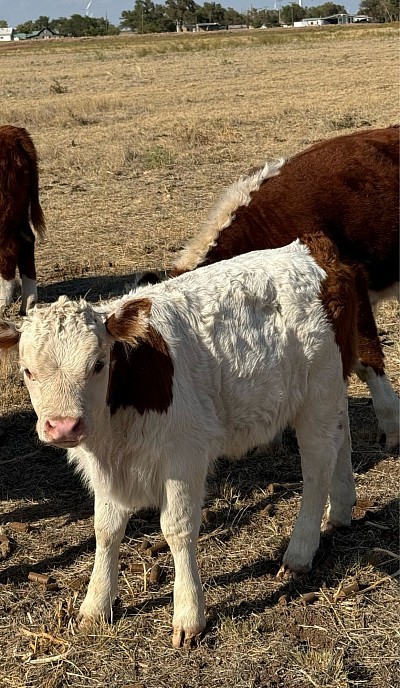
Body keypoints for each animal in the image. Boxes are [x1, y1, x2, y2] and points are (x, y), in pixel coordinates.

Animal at [0, 236, 356, 644]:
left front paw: (188, 615)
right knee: (341, 439)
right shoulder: (105, 465)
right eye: (27, 371)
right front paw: (95, 606)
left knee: (317, 468)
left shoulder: (184, 457)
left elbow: (178, 529)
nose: (63, 426)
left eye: (98, 364)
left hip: (317, 395)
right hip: (332, 391)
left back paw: (299, 552)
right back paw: (341, 509)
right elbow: (105, 530)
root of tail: (311, 251)